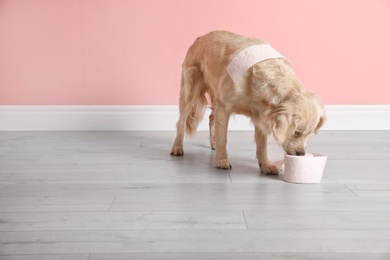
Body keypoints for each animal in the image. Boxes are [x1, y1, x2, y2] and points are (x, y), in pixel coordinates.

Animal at [171, 31, 326, 175]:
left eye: (309, 133)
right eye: (296, 132)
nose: (301, 154)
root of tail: (202, 36)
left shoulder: (261, 114)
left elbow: (262, 145)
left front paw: (266, 165)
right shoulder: (224, 107)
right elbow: (223, 138)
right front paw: (222, 160)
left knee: (211, 117)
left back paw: (213, 143)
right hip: (191, 91)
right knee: (181, 122)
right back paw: (177, 147)